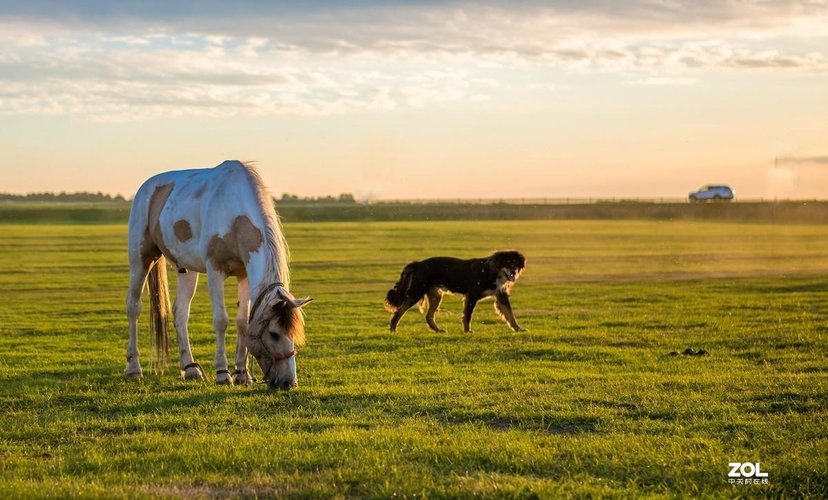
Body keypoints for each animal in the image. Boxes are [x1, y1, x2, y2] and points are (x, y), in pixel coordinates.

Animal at [124, 160, 312, 390]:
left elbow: (242, 322)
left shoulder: (244, 274)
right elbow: (221, 320)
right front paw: (223, 373)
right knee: (133, 307)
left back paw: (191, 369)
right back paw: (134, 369)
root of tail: (146, 188)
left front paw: (242, 374)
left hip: (187, 270)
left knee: (180, 312)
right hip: (141, 259)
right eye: (274, 334)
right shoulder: (215, 270)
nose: (288, 382)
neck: (234, 217)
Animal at [386, 249, 528, 332]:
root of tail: (418, 264)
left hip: (436, 296)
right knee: (399, 311)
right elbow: (468, 316)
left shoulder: (501, 296)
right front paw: (467, 331)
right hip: (416, 292)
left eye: (515, 263)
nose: (513, 272)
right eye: (507, 263)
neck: (492, 271)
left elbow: (510, 314)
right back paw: (393, 328)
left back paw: (438, 330)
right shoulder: (472, 296)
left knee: (429, 316)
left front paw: (518, 328)